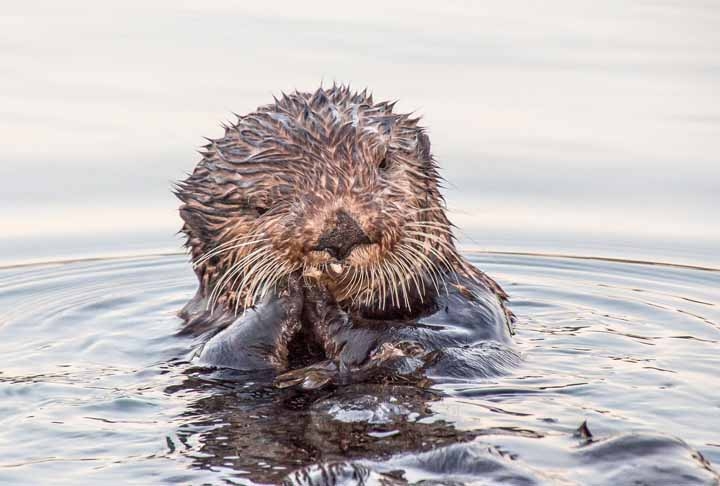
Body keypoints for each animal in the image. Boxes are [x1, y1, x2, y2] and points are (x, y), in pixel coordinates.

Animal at [178, 83, 520, 388]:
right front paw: (284, 292)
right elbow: (222, 351)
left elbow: (448, 337)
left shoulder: (473, 300)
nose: (341, 232)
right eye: (261, 206)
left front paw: (320, 303)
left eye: (383, 161)